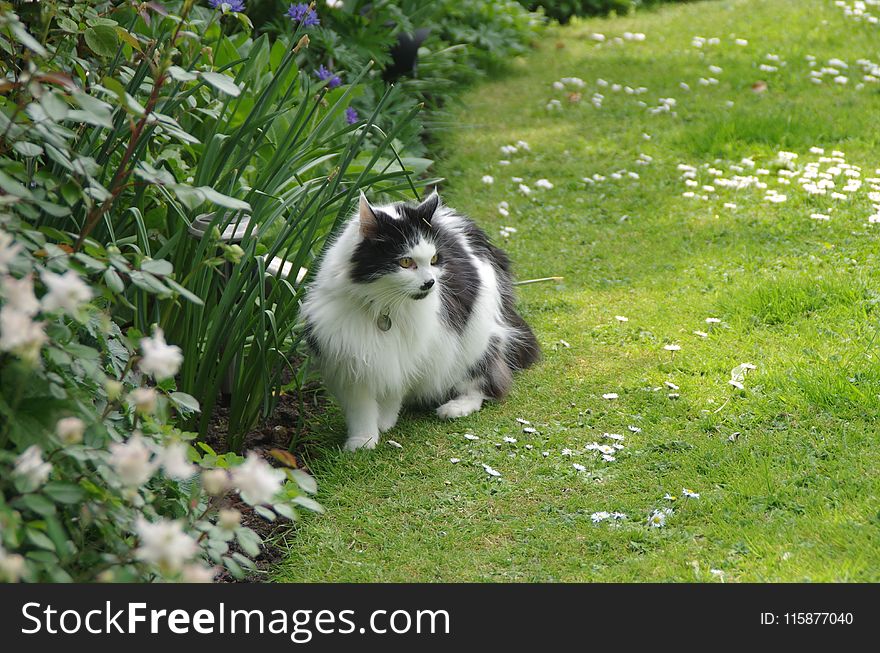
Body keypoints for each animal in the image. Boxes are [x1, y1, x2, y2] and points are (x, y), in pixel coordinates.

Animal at [300, 191, 540, 450]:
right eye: (406, 262)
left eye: (433, 259)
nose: (430, 282)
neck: (384, 307)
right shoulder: (351, 358)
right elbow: (361, 409)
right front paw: (362, 441)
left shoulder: (408, 353)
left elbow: (393, 391)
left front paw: (384, 422)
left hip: (478, 341)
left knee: (484, 383)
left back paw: (454, 408)